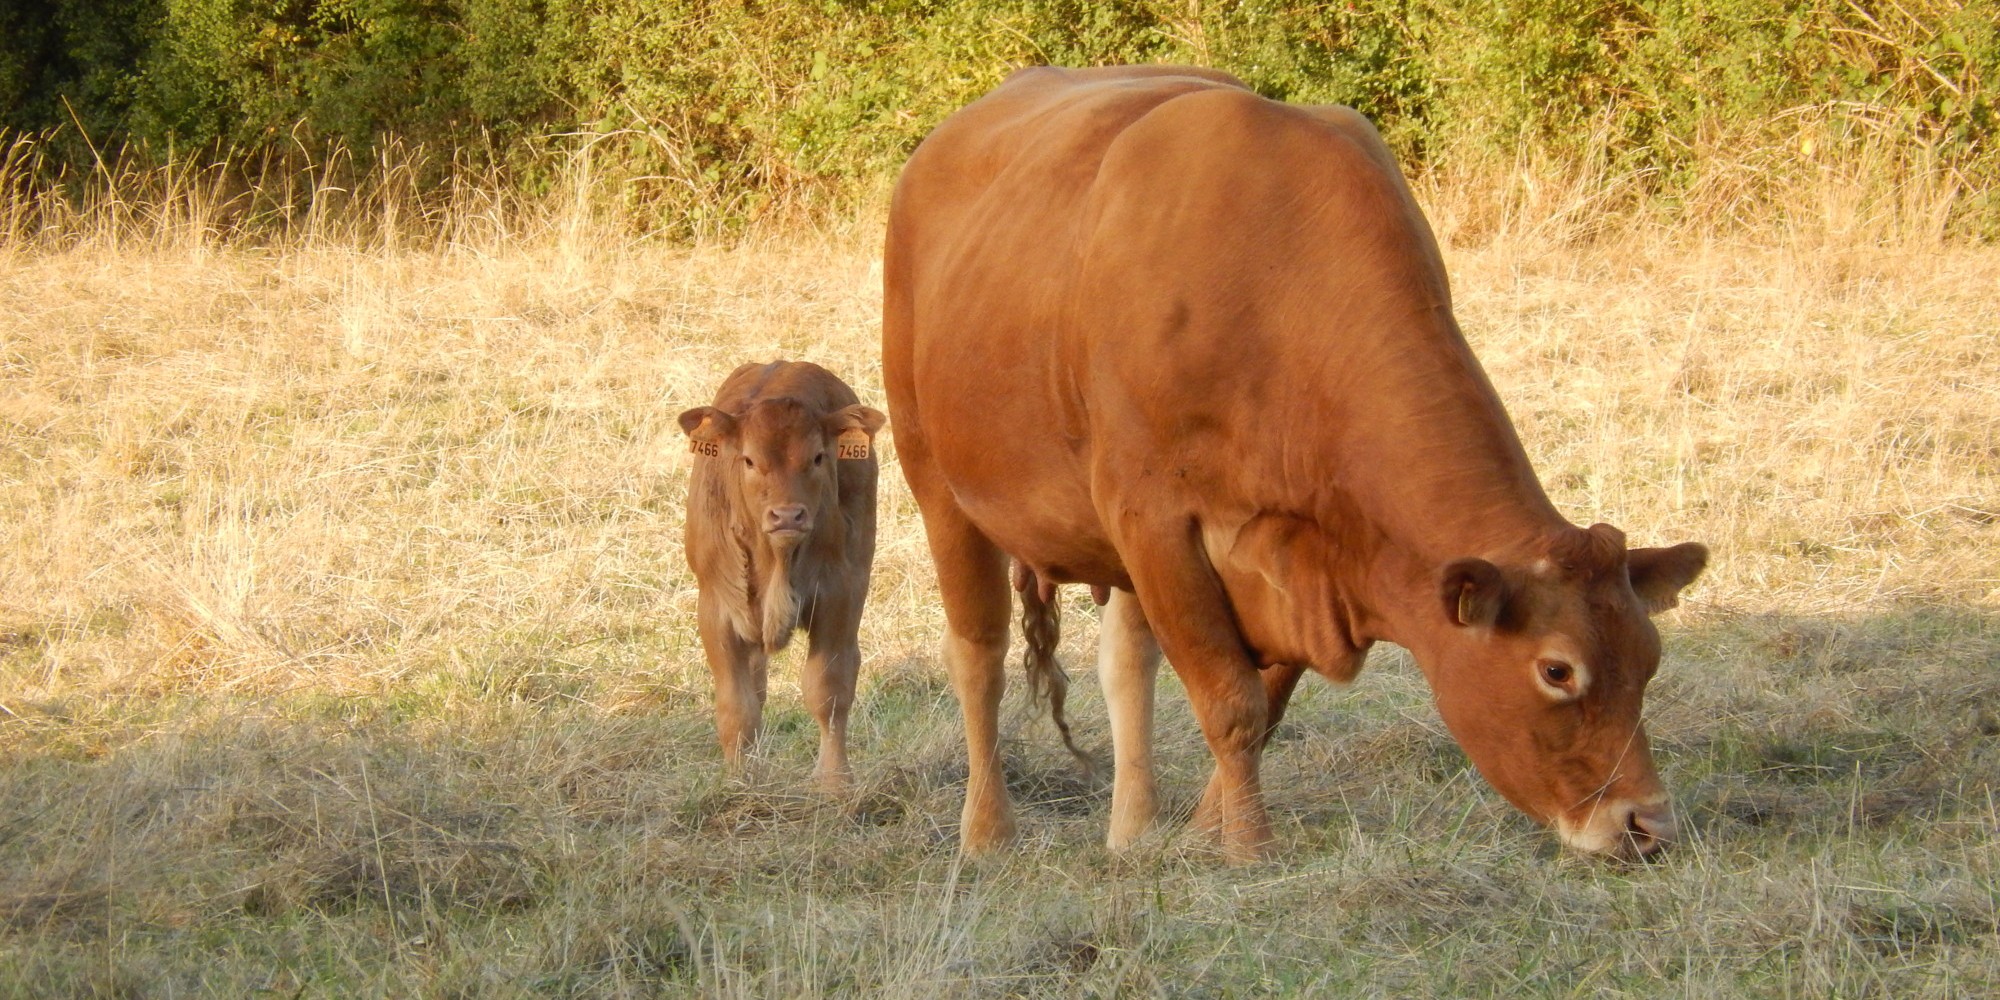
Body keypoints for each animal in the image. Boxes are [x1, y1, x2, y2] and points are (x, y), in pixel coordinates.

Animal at [680, 360, 884, 788]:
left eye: (819, 458)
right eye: (748, 460)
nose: (788, 516)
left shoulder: (838, 597)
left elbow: (829, 689)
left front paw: (834, 782)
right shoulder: (716, 608)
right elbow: (737, 705)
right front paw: (740, 781)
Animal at [884, 66, 1712, 860]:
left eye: (1650, 657)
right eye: (1557, 669)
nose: (1646, 824)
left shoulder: (1304, 563)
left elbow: (1265, 703)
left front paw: (1206, 835)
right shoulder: (1155, 521)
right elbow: (1231, 703)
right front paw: (1250, 850)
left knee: (1125, 666)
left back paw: (1133, 831)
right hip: (937, 478)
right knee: (979, 657)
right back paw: (987, 834)